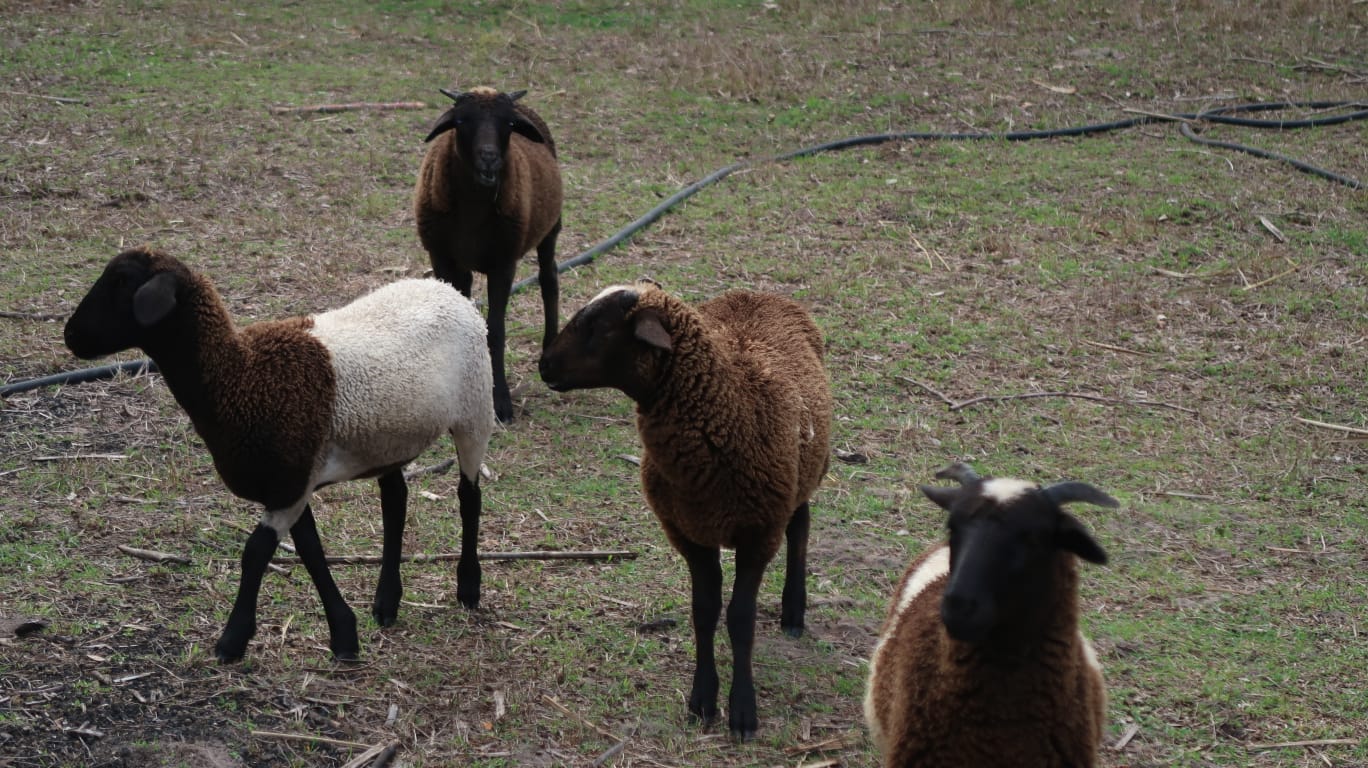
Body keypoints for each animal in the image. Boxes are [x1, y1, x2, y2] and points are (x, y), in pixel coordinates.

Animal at [63, 247, 495, 663]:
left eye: (122, 281)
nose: (70, 336)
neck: (239, 378)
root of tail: (445, 289)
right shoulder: (289, 482)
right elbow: (310, 551)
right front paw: (344, 634)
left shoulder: (291, 481)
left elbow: (256, 552)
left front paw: (233, 640)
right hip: (389, 437)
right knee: (395, 501)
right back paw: (386, 602)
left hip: (475, 408)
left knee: (468, 495)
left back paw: (468, 587)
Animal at [414, 85, 564, 424]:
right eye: (460, 121)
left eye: (508, 124)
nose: (489, 159)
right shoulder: (441, 258)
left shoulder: (503, 264)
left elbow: (495, 330)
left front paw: (501, 402)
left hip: (550, 229)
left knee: (549, 278)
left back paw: (549, 349)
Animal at [537, 280, 833, 740]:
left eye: (598, 327)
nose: (544, 364)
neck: (730, 411)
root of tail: (754, 292)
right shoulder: (688, 533)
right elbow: (705, 611)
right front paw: (702, 699)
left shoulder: (758, 532)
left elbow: (741, 618)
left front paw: (743, 712)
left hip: (804, 470)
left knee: (800, 525)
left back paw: (793, 612)